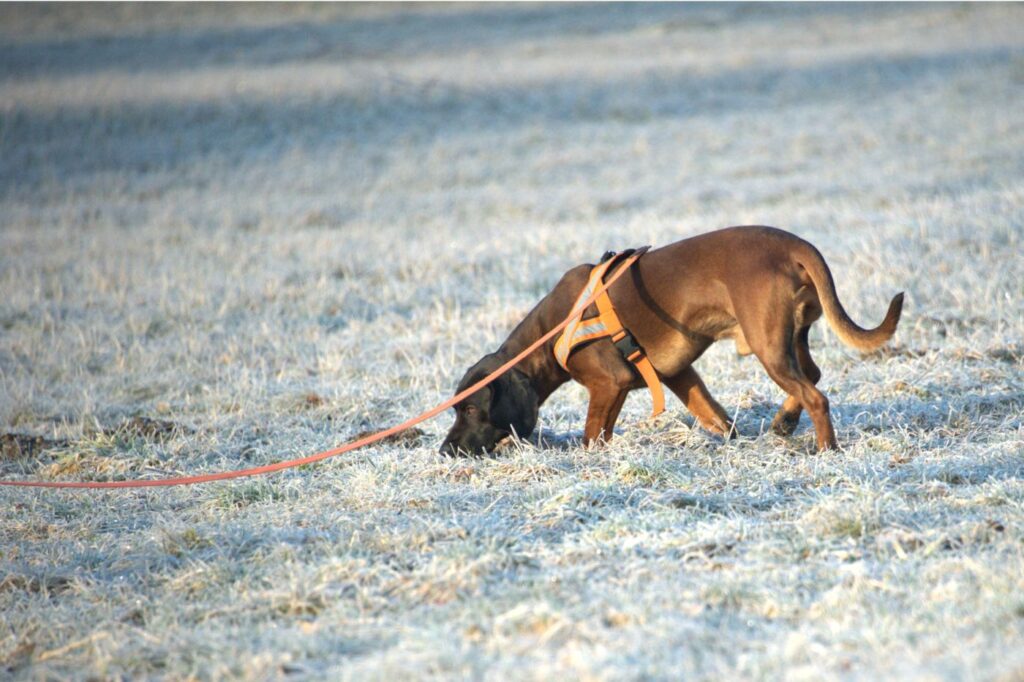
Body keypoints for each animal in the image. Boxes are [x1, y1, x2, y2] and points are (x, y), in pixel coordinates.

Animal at [440, 225, 905, 454]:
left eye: (470, 409)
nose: (446, 450)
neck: (551, 329)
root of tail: (796, 246)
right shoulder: (679, 375)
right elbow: (714, 416)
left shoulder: (608, 384)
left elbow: (592, 434)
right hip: (790, 339)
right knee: (813, 375)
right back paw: (784, 422)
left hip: (768, 345)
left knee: (816, 396)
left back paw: (825, 449)